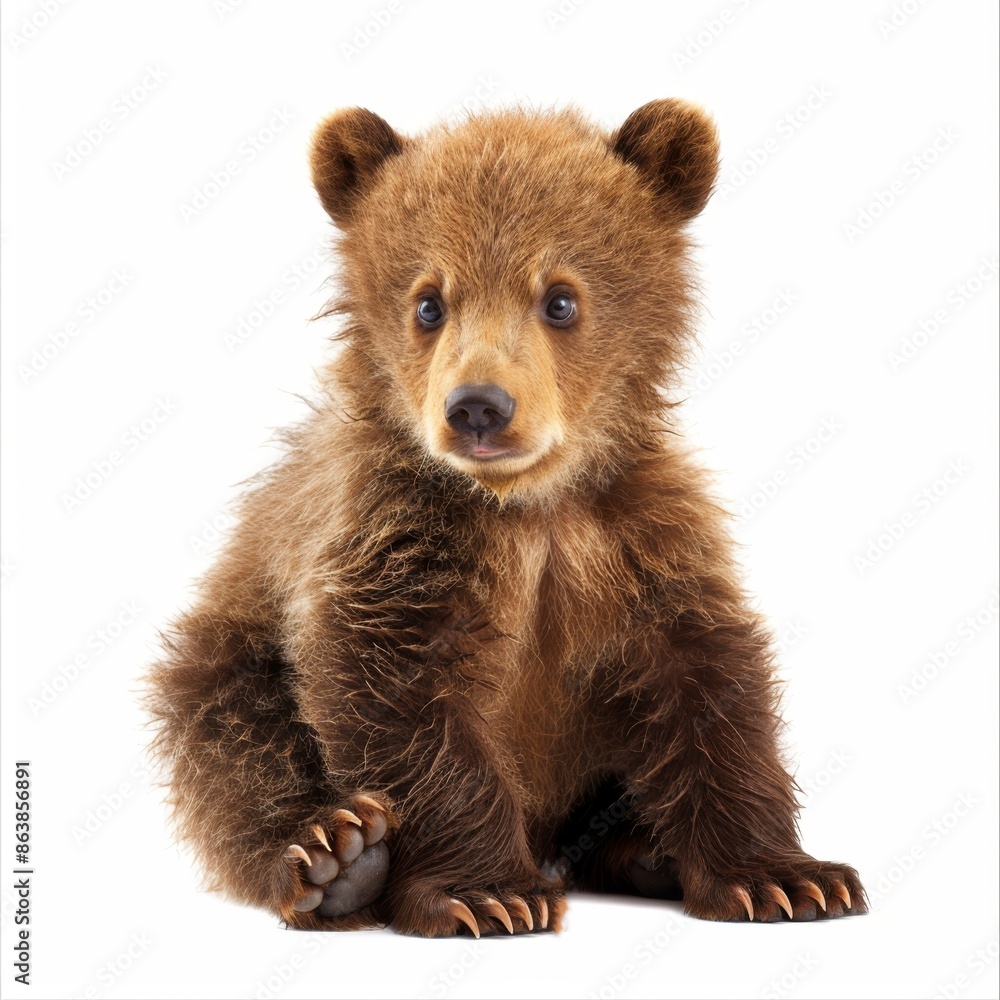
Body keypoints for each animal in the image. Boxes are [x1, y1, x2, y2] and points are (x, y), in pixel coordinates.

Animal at [146, 99, 866, 936]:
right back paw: (335, 856)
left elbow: (706, 683)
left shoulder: (640, 539)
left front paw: (787, 878)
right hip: (230, 649)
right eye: (429, 301)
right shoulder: (393, 542)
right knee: (234, 741)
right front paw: (487, 891)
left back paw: (642, 848)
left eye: (560, 297)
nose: (479, 407)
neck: (528, 504)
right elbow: (402, 697)